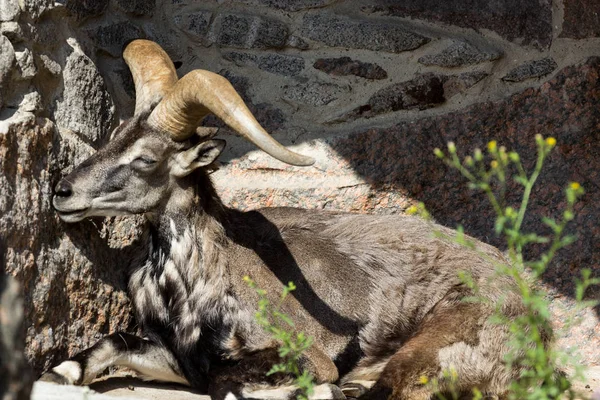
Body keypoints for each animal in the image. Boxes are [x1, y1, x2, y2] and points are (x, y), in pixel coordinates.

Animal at [43, 39, 540, 396]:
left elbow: (229, 382)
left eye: (147, 158)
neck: (190, 284)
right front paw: (60, 374)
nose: (62, 192)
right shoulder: (179, 357)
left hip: (434, 346)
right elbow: (112, 344)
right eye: (115, 134)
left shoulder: (302, 352)